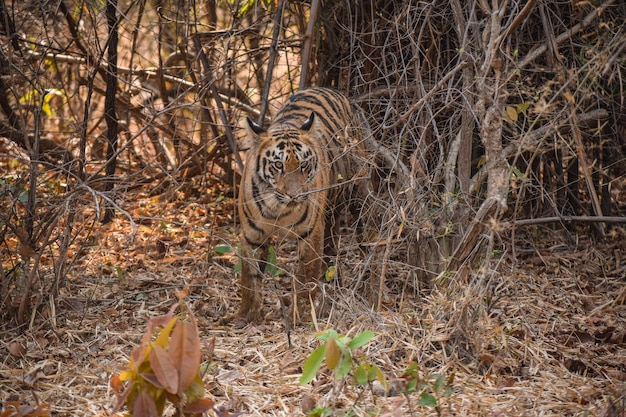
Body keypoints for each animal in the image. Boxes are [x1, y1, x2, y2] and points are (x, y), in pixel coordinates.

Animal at [234, 86, 370, 324]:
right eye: (278, 165)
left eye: (304, 165)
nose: (295, 194)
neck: (278, 208)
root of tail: (331, 90)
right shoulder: (252, 235)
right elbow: (249, 278)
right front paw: (246, 316)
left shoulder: (310, 232)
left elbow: (305, 276)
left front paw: (301, 314)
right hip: (330, 216)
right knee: (331, 247)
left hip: (356, 195)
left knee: (363, 238)